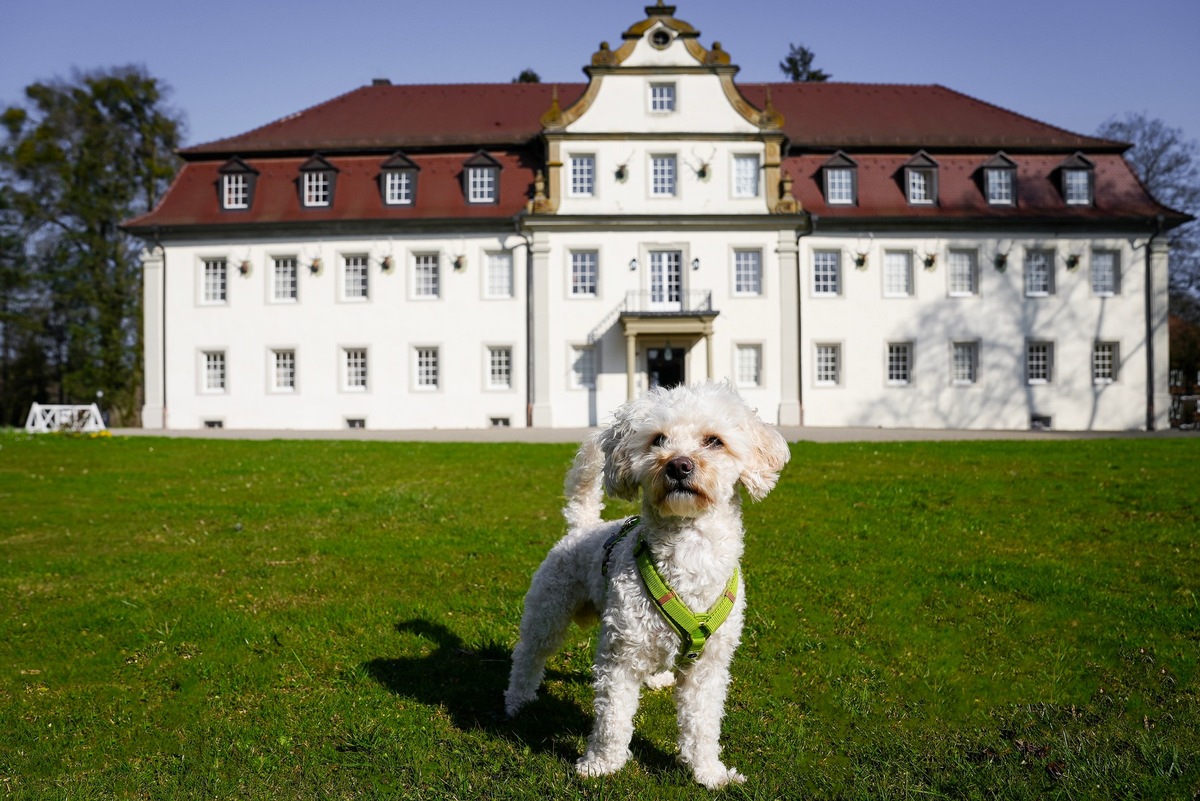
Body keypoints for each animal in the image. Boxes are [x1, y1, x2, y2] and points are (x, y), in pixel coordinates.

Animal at [504, 383, 792, 786]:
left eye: (714, 441)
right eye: (658, 439)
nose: (679, 465)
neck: (688, 556)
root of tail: (583, 525)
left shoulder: (709, 667)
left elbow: (703, 724)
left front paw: (708, 772)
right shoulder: (619, 657)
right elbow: (612, 720)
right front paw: (600, 765)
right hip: (548, 611)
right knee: (529, 655)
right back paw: (517, 700)